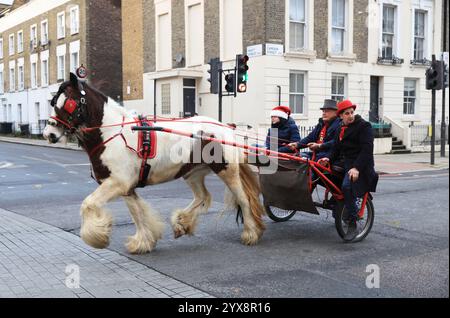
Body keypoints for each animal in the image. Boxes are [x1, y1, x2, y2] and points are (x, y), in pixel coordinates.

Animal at [43, 73, 264, 255]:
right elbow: (138, 214)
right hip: (192, 173)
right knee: (203, 197)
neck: (112, 133)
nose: (48, 134)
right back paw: (182, 223)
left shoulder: (117, 183)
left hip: (227, 171)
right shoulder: (126, 188)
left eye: (69, 103)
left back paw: (251, 233)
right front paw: (143, 242)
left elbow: (88, 204)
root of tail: (225, 127)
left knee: (243, 199)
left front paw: (98, 238)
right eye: (54, 102)